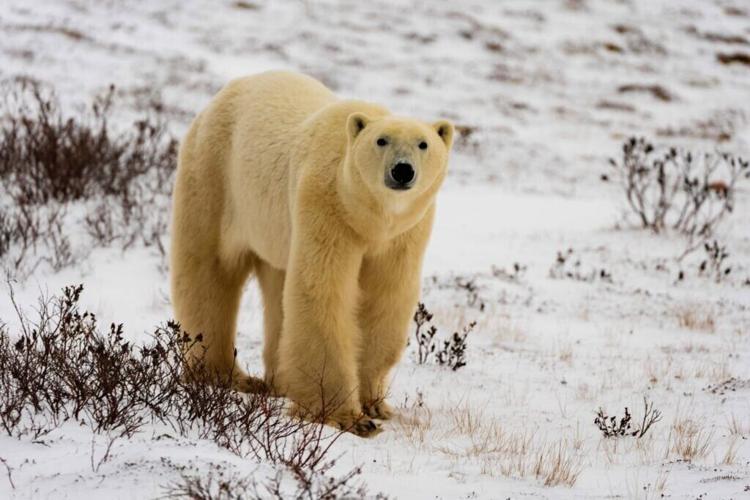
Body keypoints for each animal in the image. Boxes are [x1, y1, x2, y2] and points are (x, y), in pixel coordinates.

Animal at [170, 71, 453, 436]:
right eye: (382, 140)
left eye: (423, 144)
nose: (402, 170)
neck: (368, 218)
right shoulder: (325, 206)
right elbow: (322, 292)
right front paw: (346, 416)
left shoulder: (403, 235)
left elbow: (385, 299)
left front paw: (375, 403)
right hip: (214, 176)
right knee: (209, 271)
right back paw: (224, 375)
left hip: (272, 229)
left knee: (277, 287)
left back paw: (278, 381)